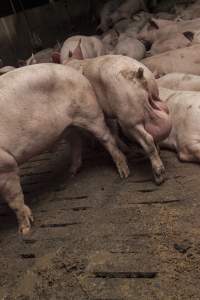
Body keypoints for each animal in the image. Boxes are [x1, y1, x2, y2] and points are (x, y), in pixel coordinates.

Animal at [0, 62, 130, 234]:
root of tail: (75, 71)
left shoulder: (6, 165)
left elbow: (14, 200)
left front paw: (24, 231)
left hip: (90, 112)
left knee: (106, 138)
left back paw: (124, 173)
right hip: (68, 126)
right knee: (76, 140)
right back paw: (71, 173)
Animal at [65, 41, 171, 185]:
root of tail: (139, 76)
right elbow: (113, 130)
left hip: (130, 118)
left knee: (147, 139)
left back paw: (158, 177)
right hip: (154, 99)